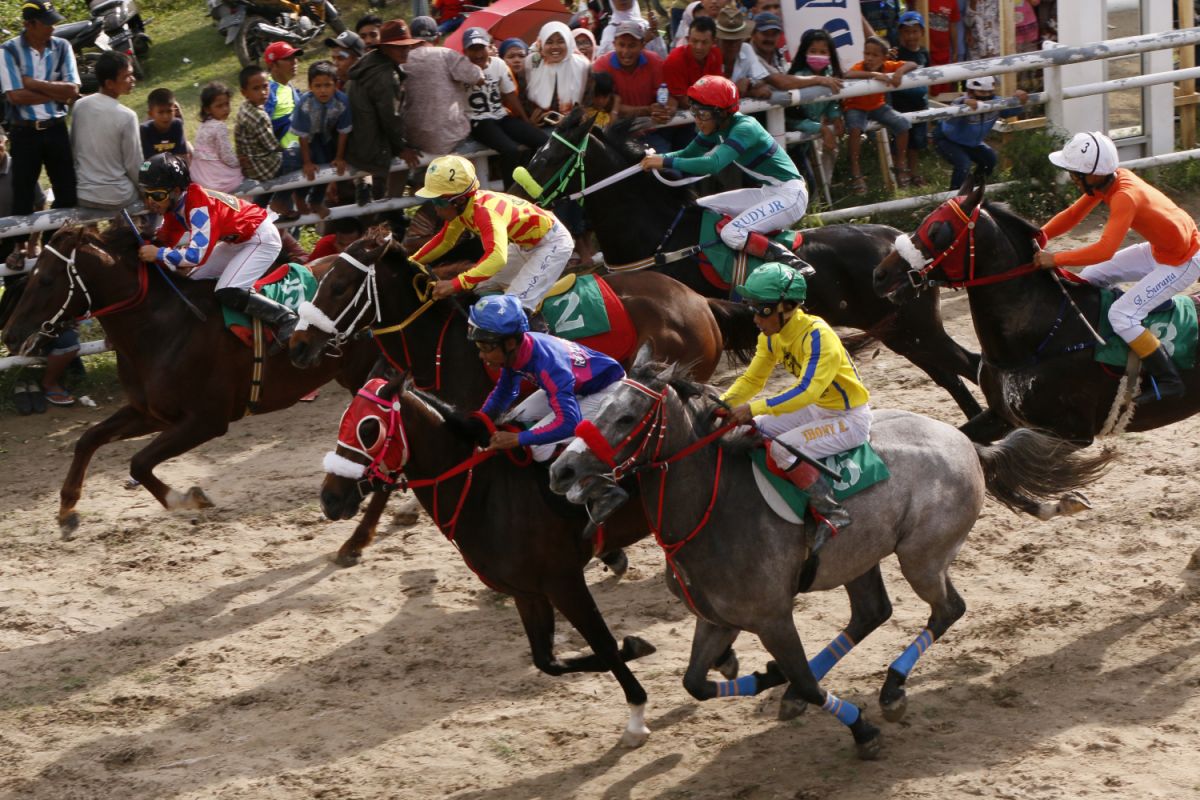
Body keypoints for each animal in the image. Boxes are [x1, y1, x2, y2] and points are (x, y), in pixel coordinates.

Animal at [1, 225, 379, 537]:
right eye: (29, 276)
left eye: (46, 281)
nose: (11, 335)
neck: (161, 327)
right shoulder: (150, 412)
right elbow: (88, 439)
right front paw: (67, 511)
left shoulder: (205, 420)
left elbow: (139, 462)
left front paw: (189, 499)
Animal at [312, 376, 739, 753]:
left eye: (369, 428)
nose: (330, 499)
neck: (484, 492)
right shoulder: (526, 592)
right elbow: (547, 661)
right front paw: (638, 645)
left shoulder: (563, 581)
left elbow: (602, 644)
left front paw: (636, 718)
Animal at [511, 110, 988, 419]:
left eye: (548, 156)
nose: (520, 192)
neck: (663, 235)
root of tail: (900, 241)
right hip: (897, 331)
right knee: (955, 374)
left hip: (915, 326)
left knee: (969, 365)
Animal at [549, 347, 1108, 758]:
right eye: (591, 405)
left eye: (626, 417)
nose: (561, 470)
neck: (711, 511)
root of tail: (966, 442)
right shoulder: (717, 619)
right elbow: (695, 684)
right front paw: (769, 677)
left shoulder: (772, 617)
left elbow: (804, 681)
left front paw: (860, 729)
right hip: (860, 559)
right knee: (871, 613)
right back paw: (802, 689)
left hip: (921, 557)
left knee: (948, 609)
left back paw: (891, 691)